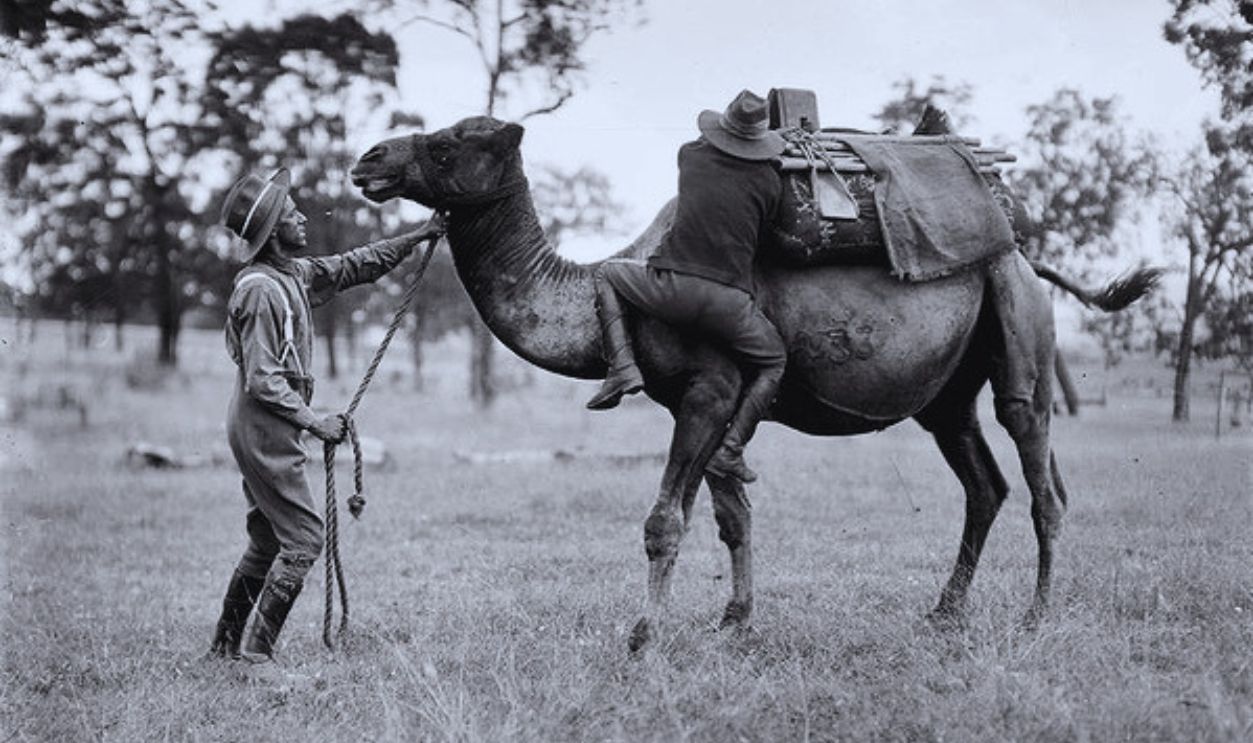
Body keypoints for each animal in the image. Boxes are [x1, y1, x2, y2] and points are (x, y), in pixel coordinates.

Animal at [350, 116, 1158, 651]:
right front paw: (733, 621)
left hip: (1017, 328)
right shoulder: (710, 400)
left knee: (1038, 468)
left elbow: (664, 520)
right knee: (983, 483)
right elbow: (730, 513)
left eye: (446, 143)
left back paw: (1034, 616)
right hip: (945, 394)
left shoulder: (707, 390)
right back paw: (944, 612)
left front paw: (643, 634)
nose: (367, 160)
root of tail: (1023, 252)